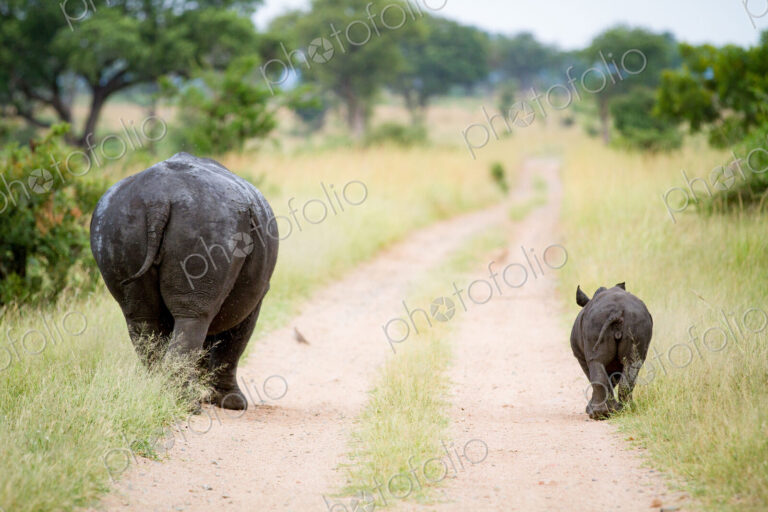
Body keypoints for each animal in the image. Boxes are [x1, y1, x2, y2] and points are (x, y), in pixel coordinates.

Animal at [90, 152, 278, 410]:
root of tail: (157, 199)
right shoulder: (257, 295)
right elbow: (234, 342)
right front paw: (232, 403)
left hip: (116, 221)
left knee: (141, 318)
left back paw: (161, 394)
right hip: (208, 221)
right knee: (194, 316)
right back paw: (188, 403)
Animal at [570, 282, 652, 419]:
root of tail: (617, 311)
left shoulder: (580, 357)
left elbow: (596, 377)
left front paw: (592, 410)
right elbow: (613, 379)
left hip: (595, 322)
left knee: (596, 362)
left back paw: (599, 414)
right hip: (637, 321)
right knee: (632, 364)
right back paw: (627, 409)